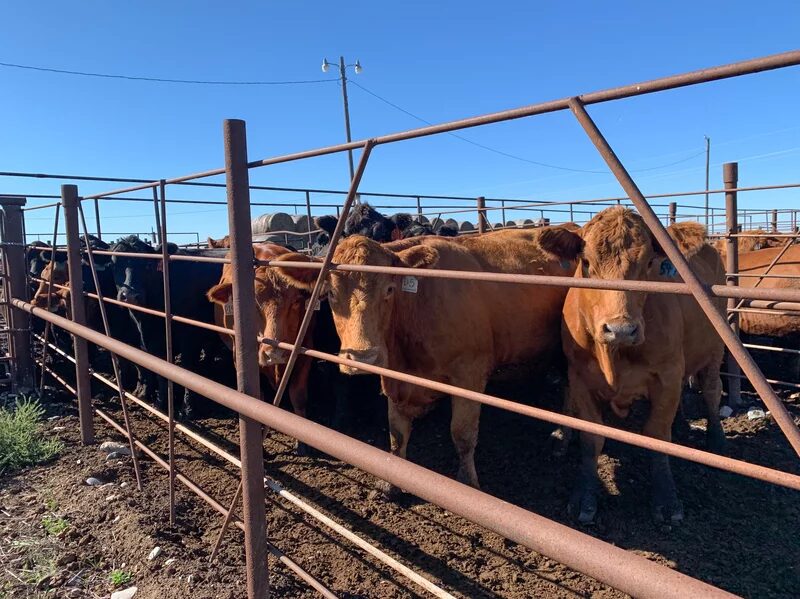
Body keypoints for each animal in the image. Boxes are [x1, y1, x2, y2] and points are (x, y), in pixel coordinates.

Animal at [110, 235, 226, 418]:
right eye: (114, 264)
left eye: (147, 265)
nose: (130, 295)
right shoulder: (151, 340)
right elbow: (161, 370)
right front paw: (161, 403)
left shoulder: (189, 336)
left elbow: (187, 367)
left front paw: (187, 409)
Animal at [277, 228, 575, 494]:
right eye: (330, 293)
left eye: (389, 288)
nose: (363, 356)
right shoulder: (396, 378)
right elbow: (396, 433)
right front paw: (391, 483)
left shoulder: (470, 373)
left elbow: (463, 434)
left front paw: (469, 484)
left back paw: (561, 436)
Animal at [537, 207, 725, 525]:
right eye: (586, 263)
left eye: (650, 262)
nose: (621, 329)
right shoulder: (579, 377)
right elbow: (591, 437)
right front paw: (584, 497)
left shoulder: (668, 374)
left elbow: (657, 434)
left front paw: (666, 499)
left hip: (716, 349)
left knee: (712, 392)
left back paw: (716, 440)